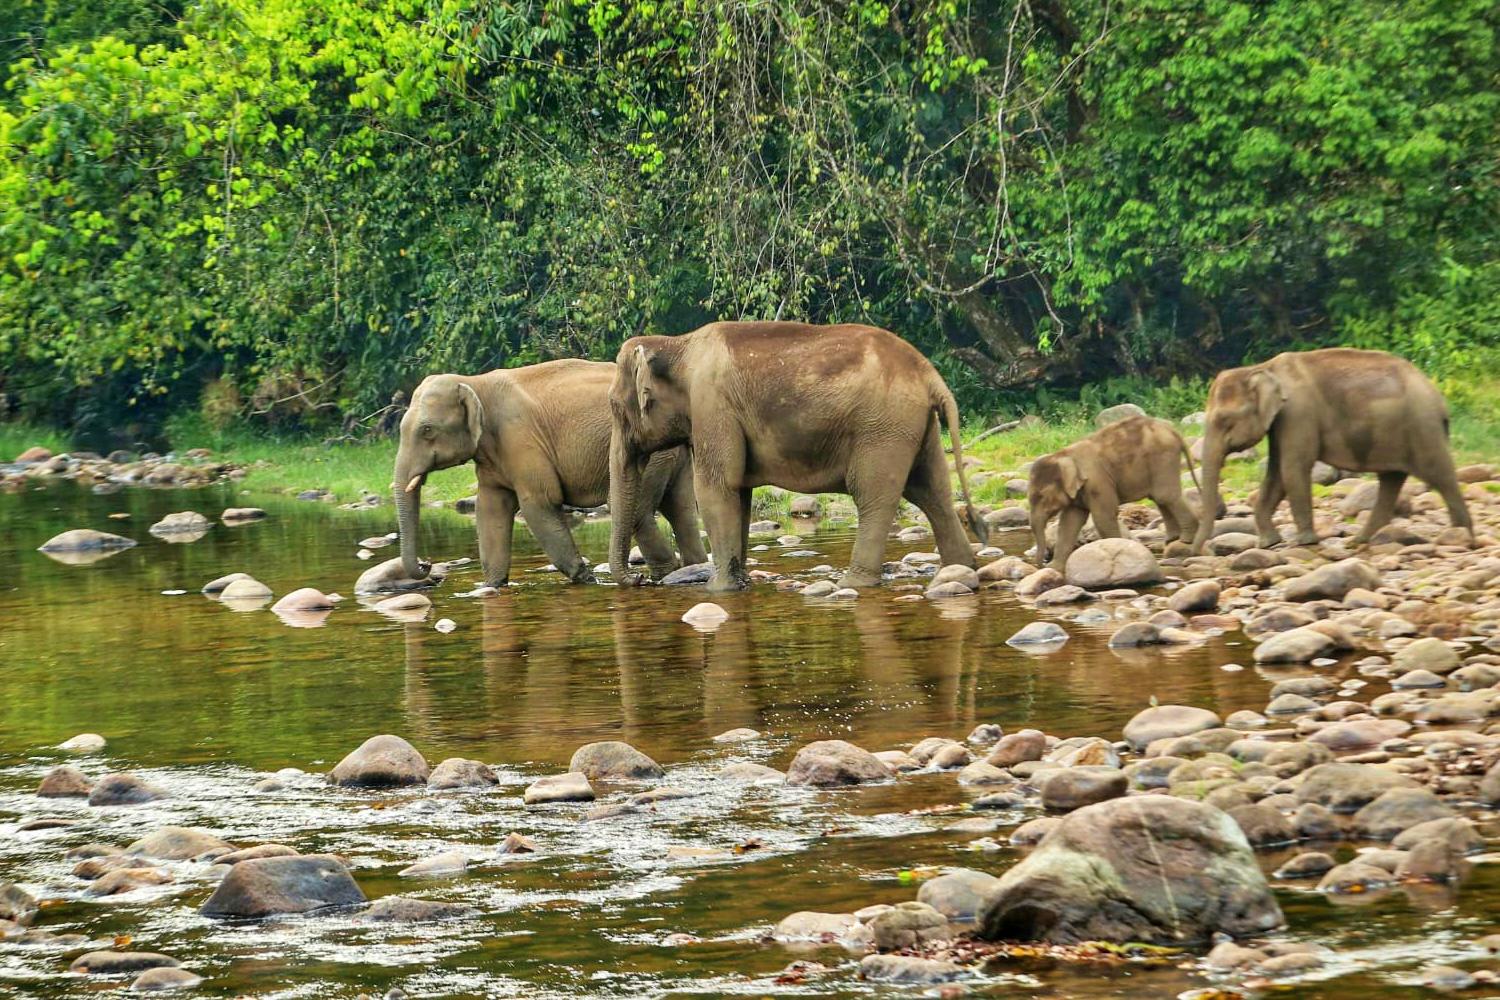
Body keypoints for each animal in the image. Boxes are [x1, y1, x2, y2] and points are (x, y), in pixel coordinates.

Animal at [393, 361, 708, 587]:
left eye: (427, 430)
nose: (427, 563)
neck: (474, 382)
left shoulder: (520, 439)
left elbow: (538, 503)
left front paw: (586, 579)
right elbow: (490, 510)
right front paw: (492, 585)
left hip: (652, 455)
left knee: (641, 513)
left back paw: (659, 577)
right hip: (672, 456)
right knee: (680, 509)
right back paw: (688, 569)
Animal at [603, 320, 990, 590]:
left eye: (614, 406)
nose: (639, 581)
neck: (678, 343)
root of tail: (930, 374)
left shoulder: (711, 404)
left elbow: (716, 489)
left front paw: (717, 590)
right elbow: (739, 494)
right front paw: (741, 584)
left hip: (883, 428)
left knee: (875, 497)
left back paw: (853, 583)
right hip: (917, 427)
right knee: (931, 491)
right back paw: (961, 568)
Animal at [1026, 416, 1200, 569]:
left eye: (1041, 496)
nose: (1042, 564)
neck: (1064, 455)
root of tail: (1173, 430)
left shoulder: (1097, 481)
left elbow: (1103, 517)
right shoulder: (1077, 492)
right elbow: (1069, 523)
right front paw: (1054, 568)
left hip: (1163, 457)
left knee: (1165, 495)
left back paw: (1186, 540)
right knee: (1159, 498)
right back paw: (1172, 540)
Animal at [1194, 350, 1476, 554]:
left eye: (1224, 420)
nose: (1195, 552)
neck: (1261, 368)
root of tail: (1438, 398)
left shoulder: (1299, 413)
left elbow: (1293, 466)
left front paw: (1306, 542)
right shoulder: (1281, 422)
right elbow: (1276, 472)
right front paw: (1268, 543)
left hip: (1422, 427)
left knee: (1440, 476)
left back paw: (1463, 538)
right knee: (1391, 480)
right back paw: (1358, 542)